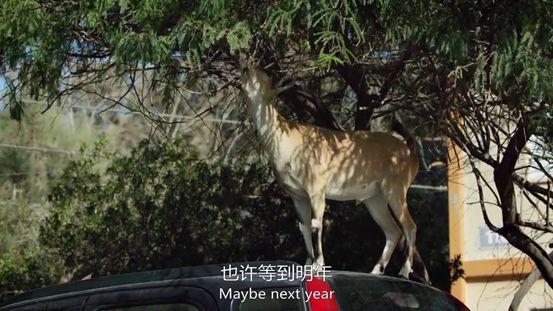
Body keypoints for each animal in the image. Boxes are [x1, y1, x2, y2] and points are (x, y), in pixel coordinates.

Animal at [239, 66, 420, 280]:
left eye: (260, 78)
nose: (245, 69)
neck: (287, 139)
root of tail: (409, 151)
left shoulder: (316, 190)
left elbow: (316, 224)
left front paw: (318, 265)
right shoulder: (297, 195)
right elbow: (303, 227)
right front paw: (307, 265)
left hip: (395, 190)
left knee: (410, 226)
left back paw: (404, 271)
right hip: (374, 199)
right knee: (392, 230)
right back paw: (376, 270)